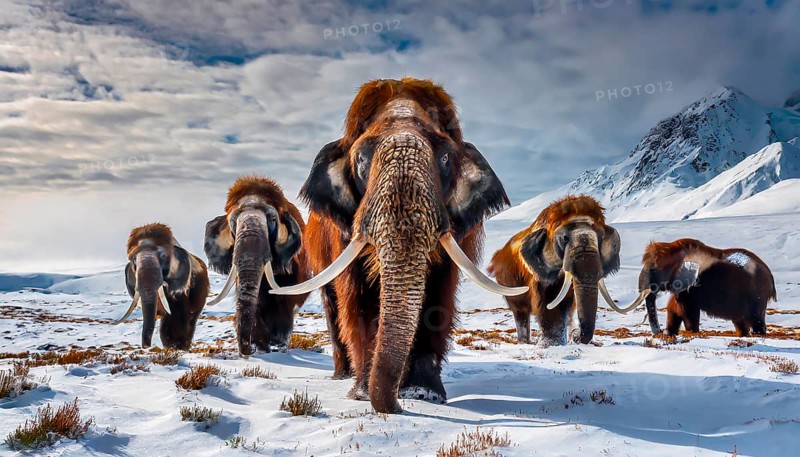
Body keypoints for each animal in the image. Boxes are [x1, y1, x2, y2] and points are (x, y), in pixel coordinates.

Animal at [204, 176, 311, 356]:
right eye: (233, 222)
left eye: (273, 219)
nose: (247, 351)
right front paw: (262, 347)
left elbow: (283, 304)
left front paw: (277, 345)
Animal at [270, 77, 527, 413]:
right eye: (361, 158)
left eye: (445, 158)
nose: (395, 406)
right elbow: (360, 300)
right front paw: (363, 393)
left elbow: (437, 300)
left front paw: (422, 392)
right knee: (333, 305)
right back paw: (343, 375)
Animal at [489, 195, 635, 346]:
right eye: (565, 238)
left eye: (600, 237)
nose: (576, 336)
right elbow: (547, 305)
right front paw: (551, 343)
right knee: (521, 313)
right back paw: (524, 341)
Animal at [623, 238, 777, 337]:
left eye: (653, 269)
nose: (659, 333)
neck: (674, 249)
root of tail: (770, 277)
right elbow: (673, 309)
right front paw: (670, 334)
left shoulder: (692, 288)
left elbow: (687, 312)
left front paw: (691, 332)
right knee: (740, 322)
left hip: (756, 297)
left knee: (756, 320)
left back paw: (758, 335)